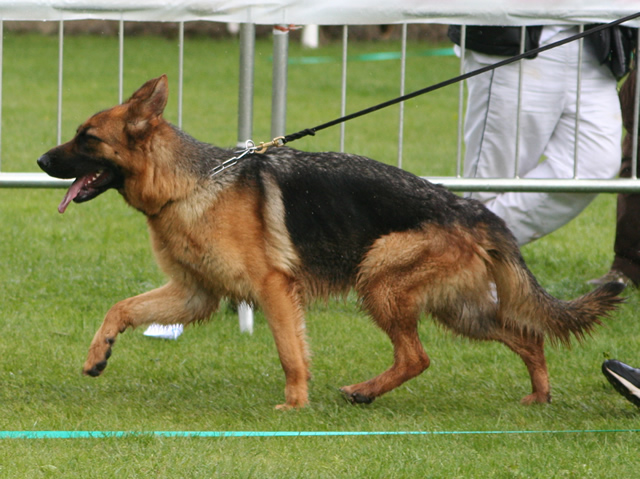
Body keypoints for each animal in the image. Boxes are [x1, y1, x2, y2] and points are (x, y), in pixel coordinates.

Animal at [37, 75, 624, 408]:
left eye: (87, 138)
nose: (40, 160)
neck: (191, 183)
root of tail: (472, 209)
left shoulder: (273, 290)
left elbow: (289, 352)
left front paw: (295, 406)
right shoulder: (194, 295)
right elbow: (120, 308)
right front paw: (97, 355)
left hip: (379, 280)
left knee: (418, 357)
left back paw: (364, 391)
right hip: (459, 310)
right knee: (528, 337)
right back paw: (539, 396)